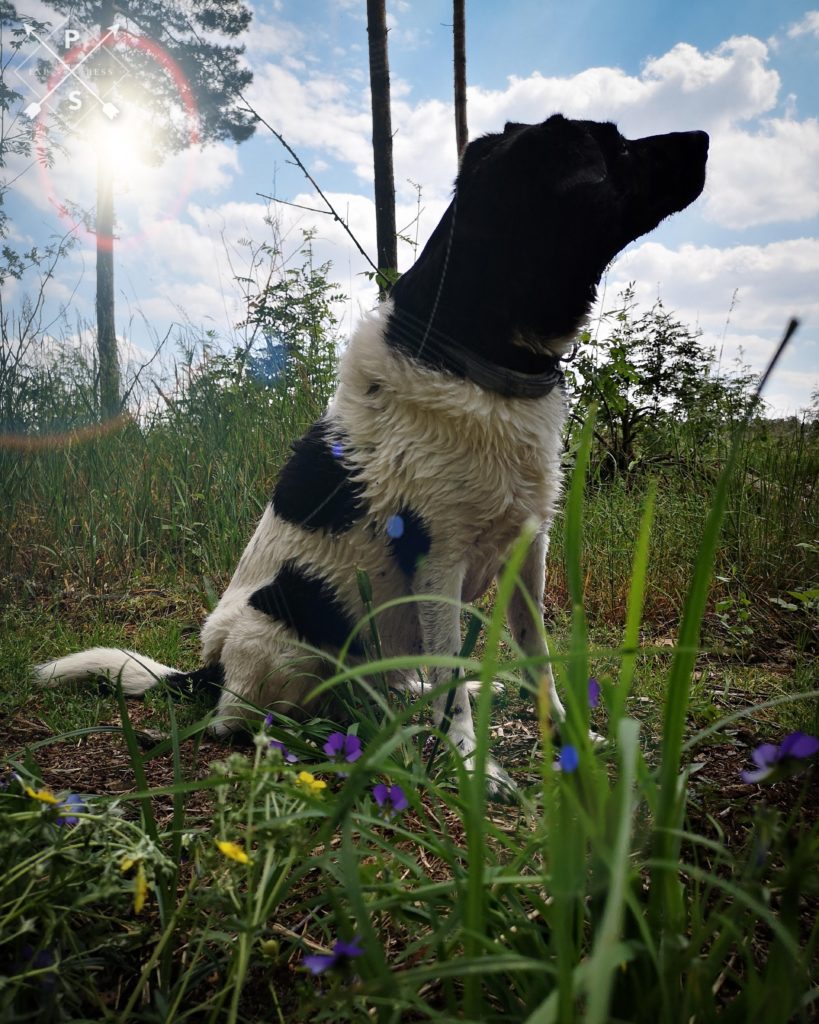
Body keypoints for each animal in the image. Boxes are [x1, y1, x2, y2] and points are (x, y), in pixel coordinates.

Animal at [35, 116, 708, 794]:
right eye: (614, 146)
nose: (704, 137)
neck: (469, 351)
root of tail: (207, 670)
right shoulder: (437, 562)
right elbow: (452, 683)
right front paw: (470, 763)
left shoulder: (528, 553)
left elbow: (538, 659)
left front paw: (568, 740)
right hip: (282, 634)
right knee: (239, 718)